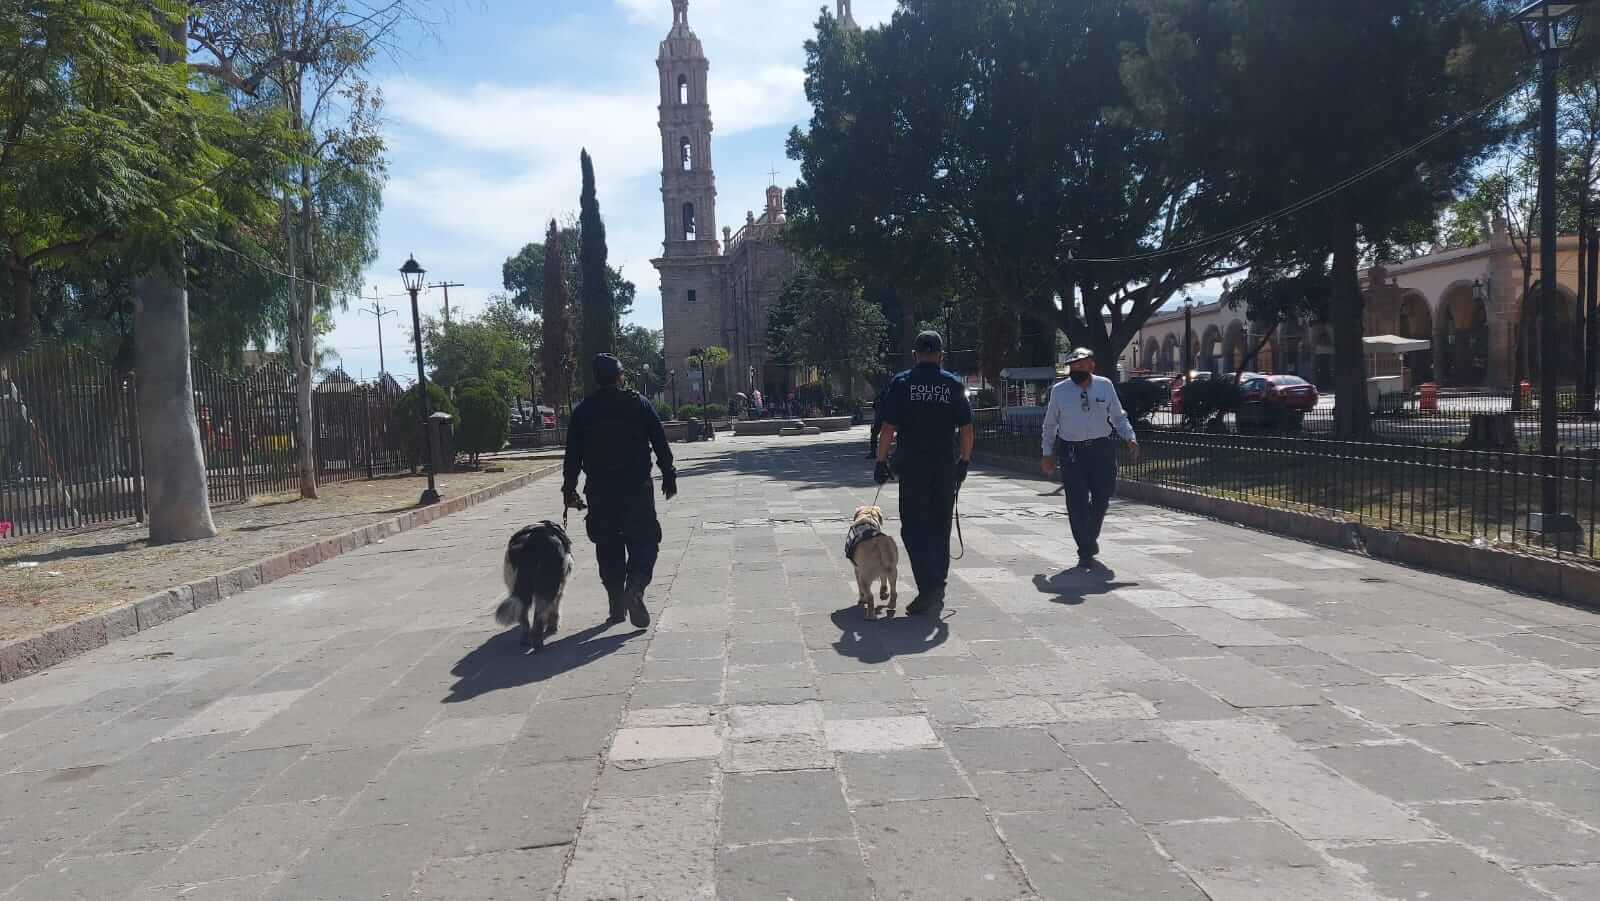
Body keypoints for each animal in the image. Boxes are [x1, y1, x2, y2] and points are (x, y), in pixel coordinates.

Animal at [499, 521, 582, 656]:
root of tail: (531, 544)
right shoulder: (560, 587)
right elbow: (555, 608)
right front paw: (552, 626)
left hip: (514, 585)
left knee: (523, 616)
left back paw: (526, 639)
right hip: (548, 586)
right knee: (538, 618)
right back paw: (538, 645)